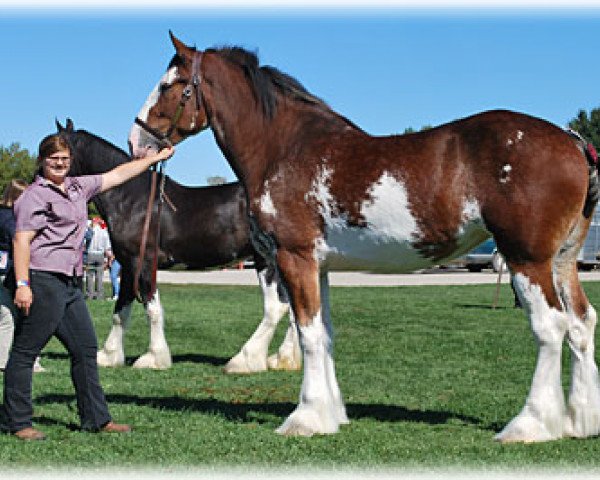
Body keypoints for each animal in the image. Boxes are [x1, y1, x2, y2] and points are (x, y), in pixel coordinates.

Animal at [57, 120, 300, 376]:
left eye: (55, 152)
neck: (130, 199)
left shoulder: (143, 263)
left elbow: (152, 310)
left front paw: (153, 358)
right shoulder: (129, 265)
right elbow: (120, 311)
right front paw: (108, 356)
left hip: (265, 260)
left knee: (276, 306)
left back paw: (245, 360)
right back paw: (283, 359)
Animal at [129, 31, 600, 442]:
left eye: (169, 85)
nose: (137, 140)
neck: (286, 149)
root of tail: (573, 142)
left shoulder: (294, 257)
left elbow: (308, 334)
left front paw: (305, 418)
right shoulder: (318, 265)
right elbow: (324, 334)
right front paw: (331, 414)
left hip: (527, 258)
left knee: (551, 327)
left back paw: (530, 425)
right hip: (562, 261)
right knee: (581, 323)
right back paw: (579, 421)